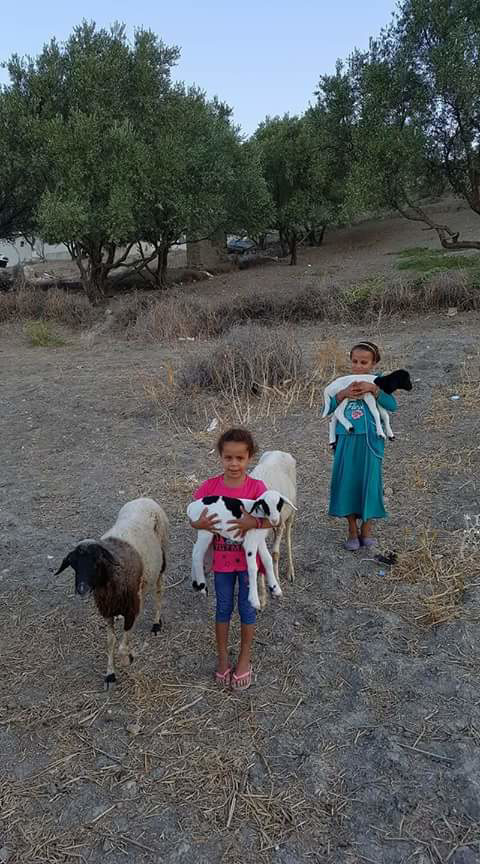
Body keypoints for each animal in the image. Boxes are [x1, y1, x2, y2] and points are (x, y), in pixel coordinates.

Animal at [55, 500, 168, 688]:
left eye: (96, 562)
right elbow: (110, 642)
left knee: (159, 591)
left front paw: (128, 659)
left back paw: (156, 623)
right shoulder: (107, 610)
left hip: (162, 561)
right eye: (73, 565)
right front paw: (110, 674)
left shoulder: (131, 609)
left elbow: (122, 646)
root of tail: (145, 499)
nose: (82, 589)